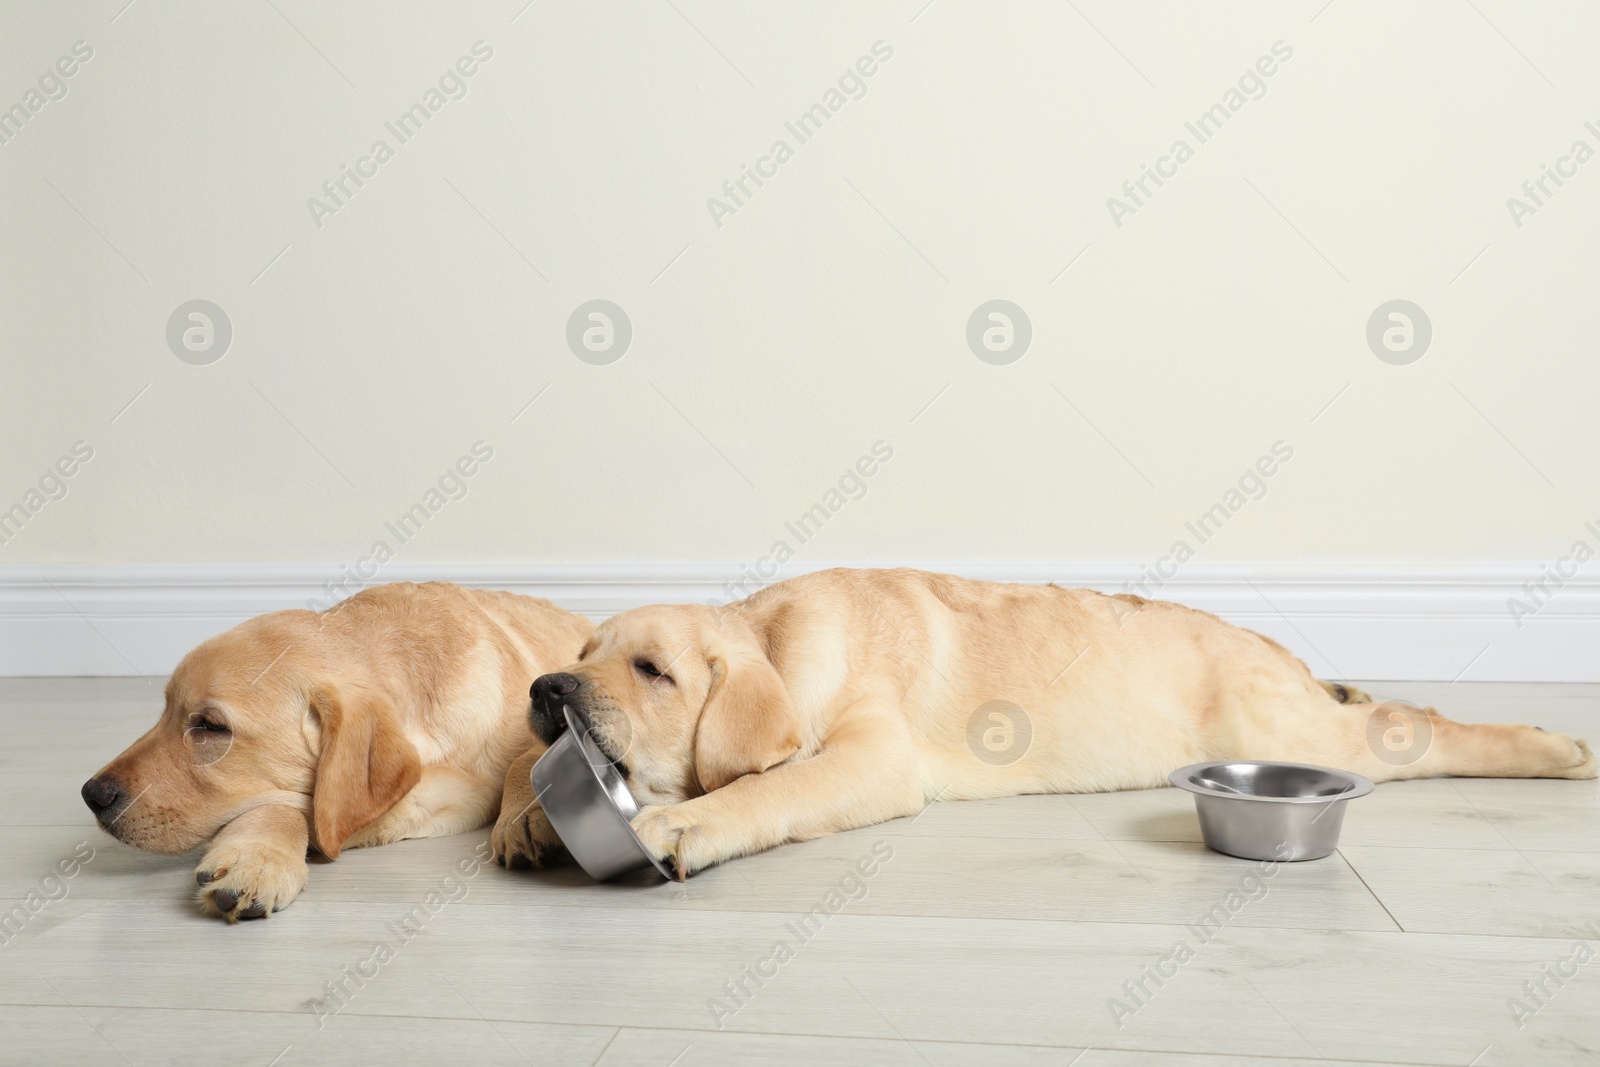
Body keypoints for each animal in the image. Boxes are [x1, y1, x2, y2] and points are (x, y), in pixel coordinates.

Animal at [502, 566, 1600, 876]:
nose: (547, 688)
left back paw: (1553, 746)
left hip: (1290, 731)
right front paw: (523, 811)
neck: (774, 633)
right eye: (585, 650)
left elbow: (775, 782)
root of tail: (1272, 648)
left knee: (1426, 723)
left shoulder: (872, 754)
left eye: (652, 671)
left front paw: (685, 820)